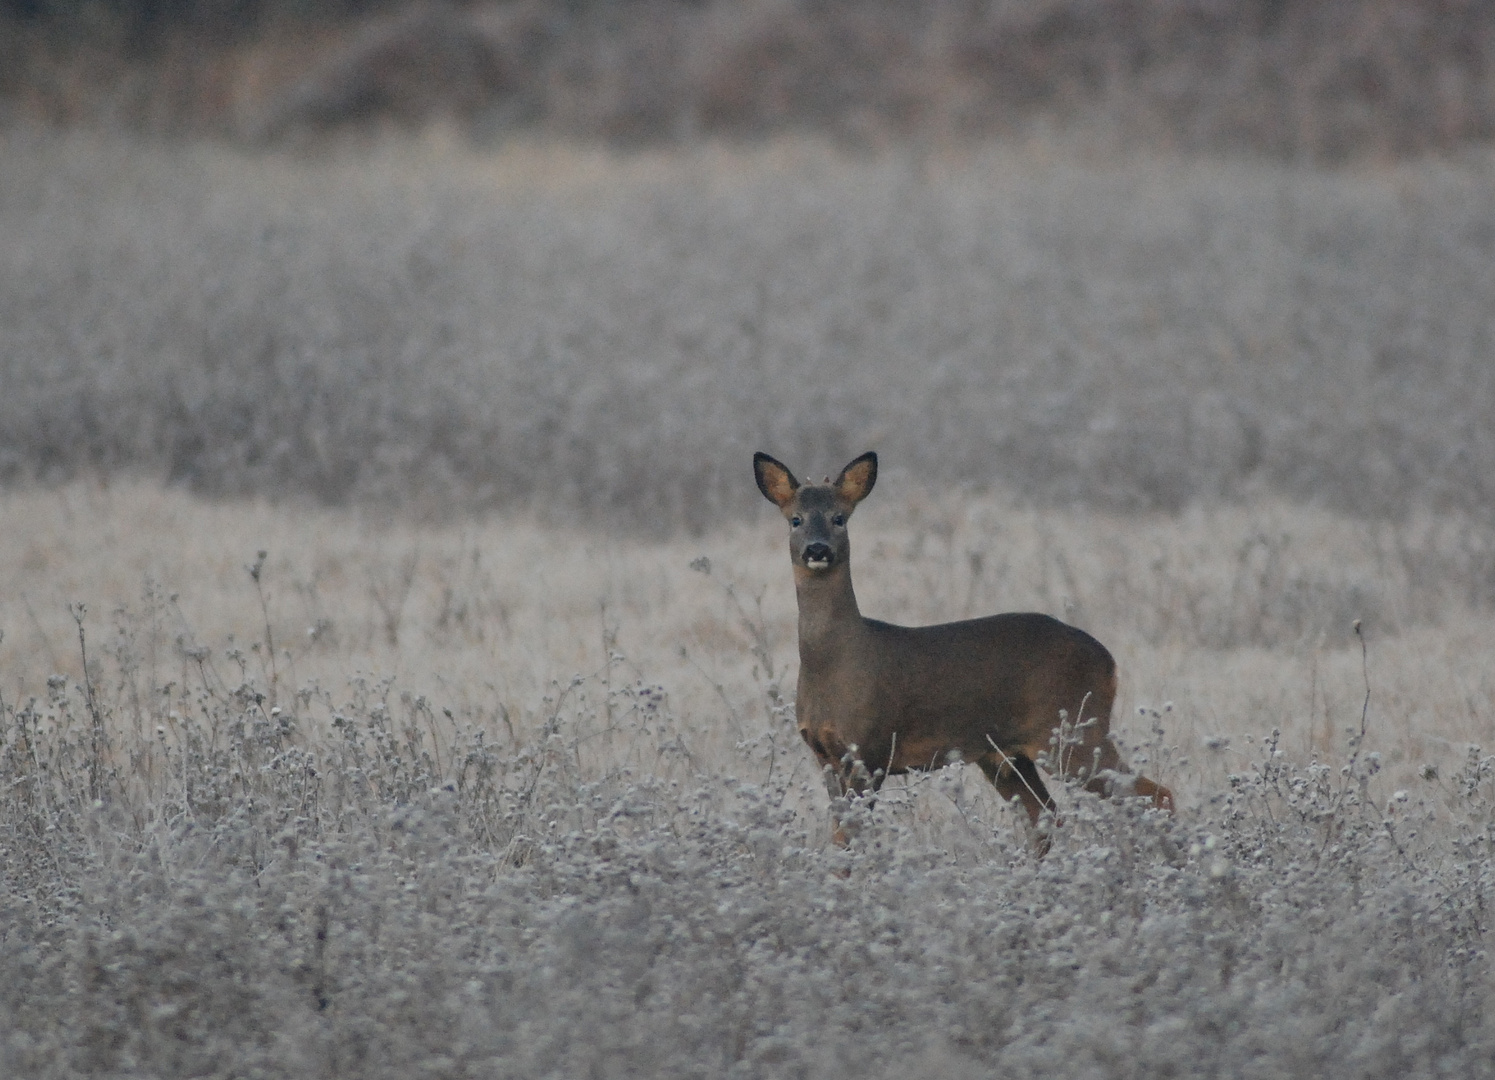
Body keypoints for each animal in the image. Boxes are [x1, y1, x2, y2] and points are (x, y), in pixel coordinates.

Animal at [753, 448, 1172, 843]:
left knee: (1157, 795)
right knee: (1045, 816)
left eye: (839, 518)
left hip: (1072, 731)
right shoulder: (823, 754)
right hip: (1006, 754)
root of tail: (1109, 661)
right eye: (795, 519)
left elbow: (852, 838)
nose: (817, 549)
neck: (837, 661)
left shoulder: (870, 748)